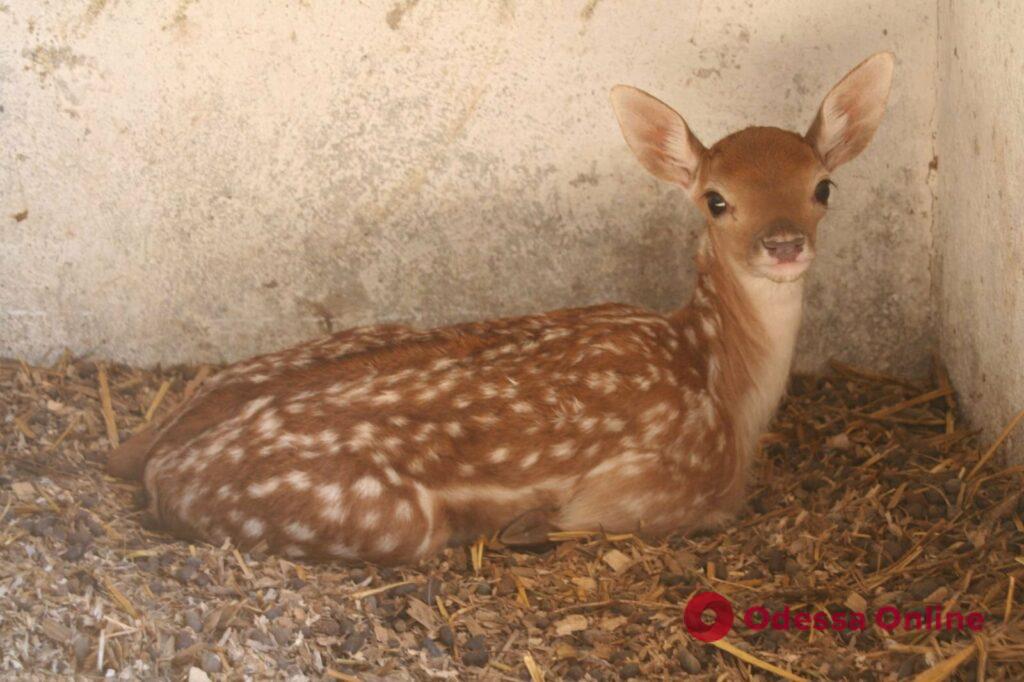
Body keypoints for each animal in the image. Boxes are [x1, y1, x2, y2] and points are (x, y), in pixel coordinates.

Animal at [108, 53, 897, 561]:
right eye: (716, 199)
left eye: (823, 186)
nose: (784, 244)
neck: (723, 392)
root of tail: (154, 458)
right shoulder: (643, 491)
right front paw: (529, 525)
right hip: (384, 515)